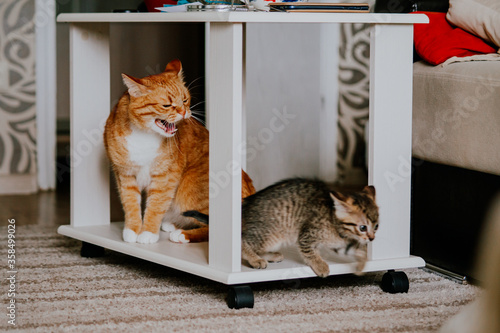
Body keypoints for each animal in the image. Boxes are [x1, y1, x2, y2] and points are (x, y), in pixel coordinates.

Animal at [103, 59, 256, 243]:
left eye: (184, 100)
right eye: (166, 105)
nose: (184, 112)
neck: (145, 134)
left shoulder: (165, 177)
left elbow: (155, 205)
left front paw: (148, 233)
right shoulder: (124, 175)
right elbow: (130, 203)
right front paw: (132, 230)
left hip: (189, 185)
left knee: (213, 228)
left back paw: (182, 234)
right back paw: (172, 224)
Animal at [184, 178, 378, 276]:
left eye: (376, 226)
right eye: (362, 227)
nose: (372, 238)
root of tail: (245, 207)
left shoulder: (341, 244)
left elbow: (356, 250)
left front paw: (362, 263)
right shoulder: (306, 235)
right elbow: (310, 252)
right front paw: (321, 266)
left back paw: (269, 256)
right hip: (270, 234)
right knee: (242, 240)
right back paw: (256, 259)